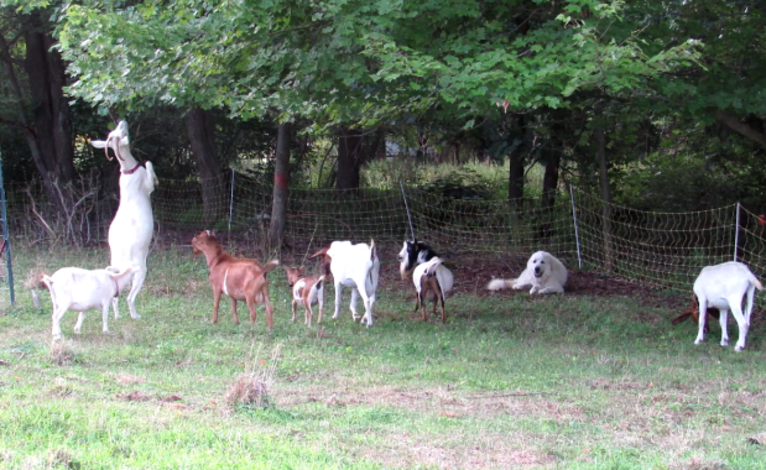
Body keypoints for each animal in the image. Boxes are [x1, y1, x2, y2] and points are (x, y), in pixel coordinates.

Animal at [89, 121, 157, 320]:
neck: (128, 171)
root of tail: (121, 266)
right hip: (140, 272)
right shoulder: (147, 185)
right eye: (121, 131)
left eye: (115, 131)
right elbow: (149, 166)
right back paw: (135, 316)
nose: (122, 121)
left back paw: (117, 316)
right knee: (129, 298)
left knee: (114, 297)